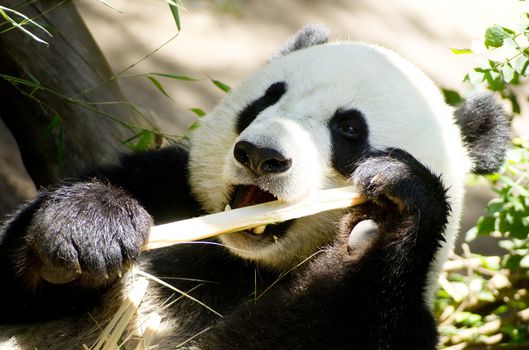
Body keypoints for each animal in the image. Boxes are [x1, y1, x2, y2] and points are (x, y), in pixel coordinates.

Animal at [0, 25, 508, 350]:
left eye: (348, 129)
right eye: (267, 98)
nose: (261, 155)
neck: (244, 264)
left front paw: (384, 220)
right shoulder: (166, 186)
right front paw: (87, 231)